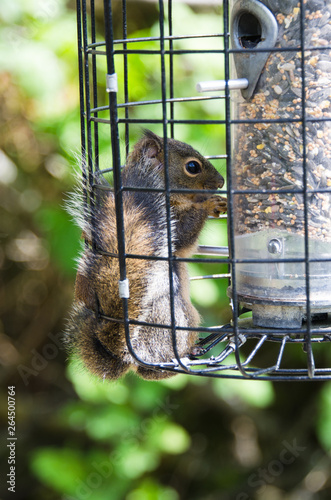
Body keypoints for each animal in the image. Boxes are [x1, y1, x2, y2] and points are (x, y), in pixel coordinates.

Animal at [67, 129, 228, 378]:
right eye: (192, 167)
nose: (221, 182)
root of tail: (127, 354)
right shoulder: (166, 223)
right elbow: (183, 233)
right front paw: (209, 204)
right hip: (169, 313)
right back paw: (186, 352)